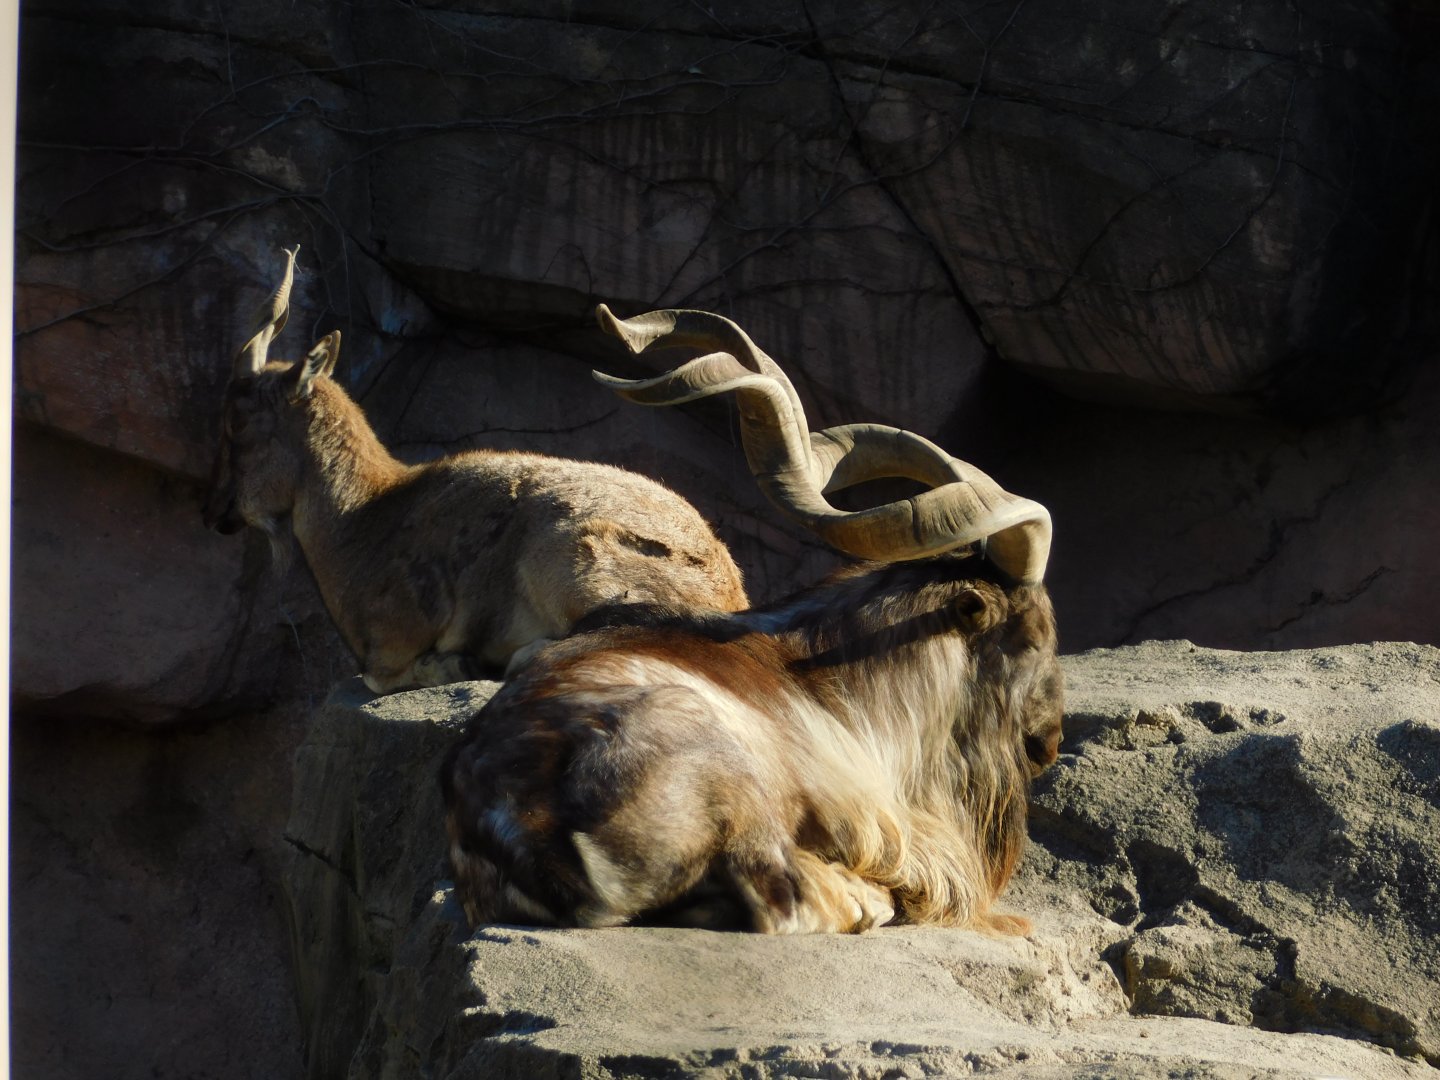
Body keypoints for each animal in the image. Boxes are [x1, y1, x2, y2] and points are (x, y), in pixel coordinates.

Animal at [203, 250, 747, 693]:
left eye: (238, 425)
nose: (217, 511)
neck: (363, 519)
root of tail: (727, 589)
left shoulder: (393, 641)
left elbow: (380, 677)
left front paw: (454, 664)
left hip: (566, 558)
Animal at [441, 306, 1061, 934]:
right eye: (1033, 638)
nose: (1050, 742)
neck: (834, 680)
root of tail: (527, 828)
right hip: (723, 776)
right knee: (778, 897)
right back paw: (863, 897)